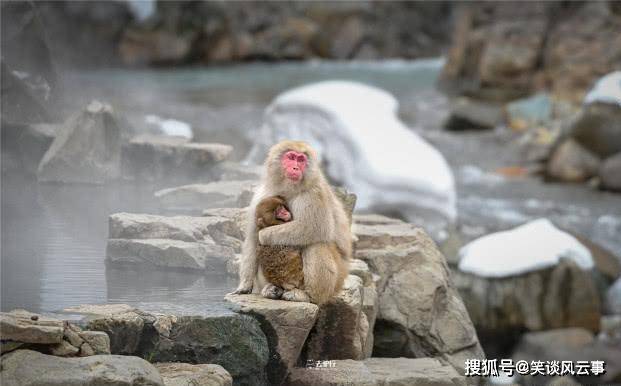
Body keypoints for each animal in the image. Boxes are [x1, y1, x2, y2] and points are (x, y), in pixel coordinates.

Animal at [230, 139, 352, 304]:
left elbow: (314, 228)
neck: (289, 189)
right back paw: (272, 288)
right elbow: (251, 239)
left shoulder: (314, 194)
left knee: (316, 244)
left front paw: (263, 235)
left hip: (336, 281)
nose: (295, 167)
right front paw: (244, 285)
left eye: (301, 160)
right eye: (291, 157)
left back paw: (309, 296)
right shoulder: (260, 196)